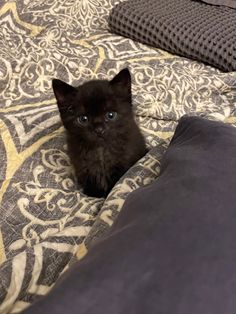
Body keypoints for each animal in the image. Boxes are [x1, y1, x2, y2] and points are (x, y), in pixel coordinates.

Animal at [52, 68, 147, 197]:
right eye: (83, 119)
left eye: (110, 115)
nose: (99, 130)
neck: (100, 150)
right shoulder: (82, 165)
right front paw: (94, 193)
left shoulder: (124, 162)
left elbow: (117, 182)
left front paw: (108, 194)